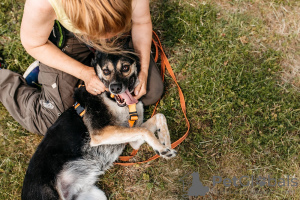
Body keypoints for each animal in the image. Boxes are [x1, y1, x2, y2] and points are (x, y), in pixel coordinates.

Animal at [22, 50, 177, 199]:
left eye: (125, 68)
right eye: (106, 71)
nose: (115, 88)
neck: (111, 98)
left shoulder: (133, 139)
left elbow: (159, 117)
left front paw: (165, 141)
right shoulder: (100, 133)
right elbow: (146, 131)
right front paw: (162, 148)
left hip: (97, 196)